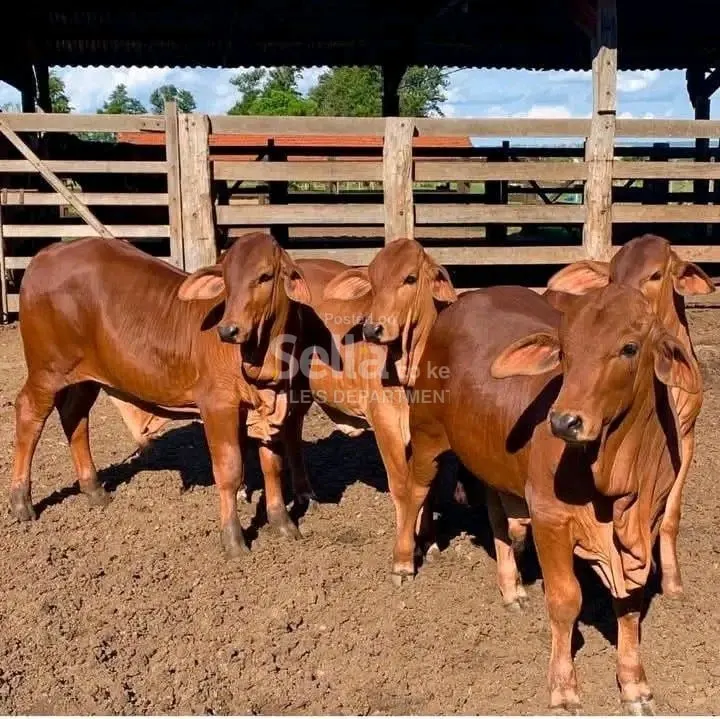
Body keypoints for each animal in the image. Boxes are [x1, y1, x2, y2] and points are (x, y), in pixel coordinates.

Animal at [10, 232, 314, 557]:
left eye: (265, 276)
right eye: (227, 281)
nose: (228, 330)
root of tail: (48, 253)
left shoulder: (270, 409)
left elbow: (272, 466)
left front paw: (283, 523)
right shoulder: (218, 405)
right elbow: (230, 471)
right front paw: (233, 540)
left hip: (85, 377)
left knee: (74, 418)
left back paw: (93, 490)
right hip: (47, 370)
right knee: (28, 413)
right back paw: (21, 501)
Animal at [391, 282, 700, 713]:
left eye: (630, 347)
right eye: (565, 351)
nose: (563, 422)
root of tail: (467, 300)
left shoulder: (647, 525)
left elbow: (629, 606)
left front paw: (634, 683)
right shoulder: (551, 518)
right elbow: (566, 599)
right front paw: (564, 687)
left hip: (494, 461)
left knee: (497, 520)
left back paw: (511, 587)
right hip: (426, 435)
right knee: (413, 492)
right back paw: (403, 563)